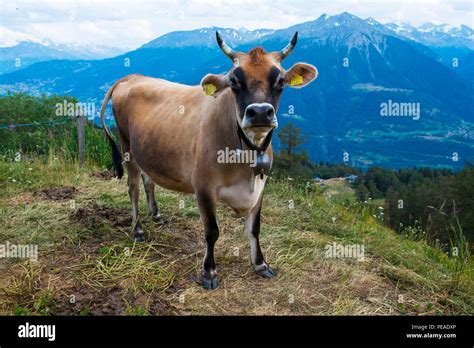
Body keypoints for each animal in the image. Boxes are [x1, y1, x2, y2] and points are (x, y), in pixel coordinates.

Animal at [100, 32, 316, 288]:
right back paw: (138, 230)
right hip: (127, 147)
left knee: (148, 180)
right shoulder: (203, 185)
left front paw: (261, 264)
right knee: (132, 188)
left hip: (148, 151)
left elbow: (255, 228)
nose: (261, 113)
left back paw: (156, 215)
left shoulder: (262, 185)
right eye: (234, 81)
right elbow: (212, 230)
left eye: (281, 80)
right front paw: (209, 272)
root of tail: (133, 77)